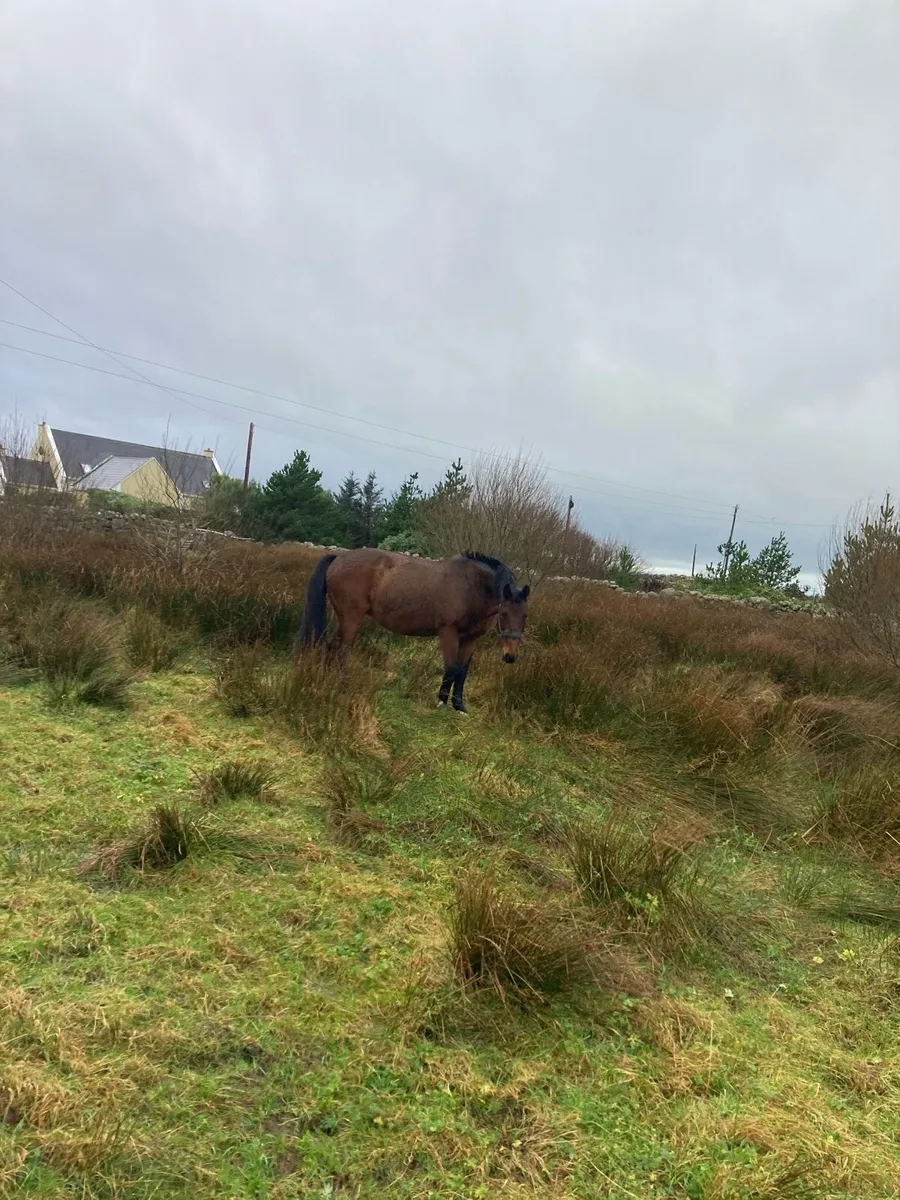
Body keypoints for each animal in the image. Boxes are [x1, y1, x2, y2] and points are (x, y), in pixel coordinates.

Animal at [297, 549, 530, 713]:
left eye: (525, 616)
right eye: (503, 613)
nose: (509, 656)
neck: (470, 587)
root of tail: (339, 557)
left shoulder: (471, 639)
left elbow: (462, 672)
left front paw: (459, 707)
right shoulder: (448, 633)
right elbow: (451, 667)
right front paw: (441, 701)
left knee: (331, 646)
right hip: (350, 617)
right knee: (340, 648)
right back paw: (343, 684)